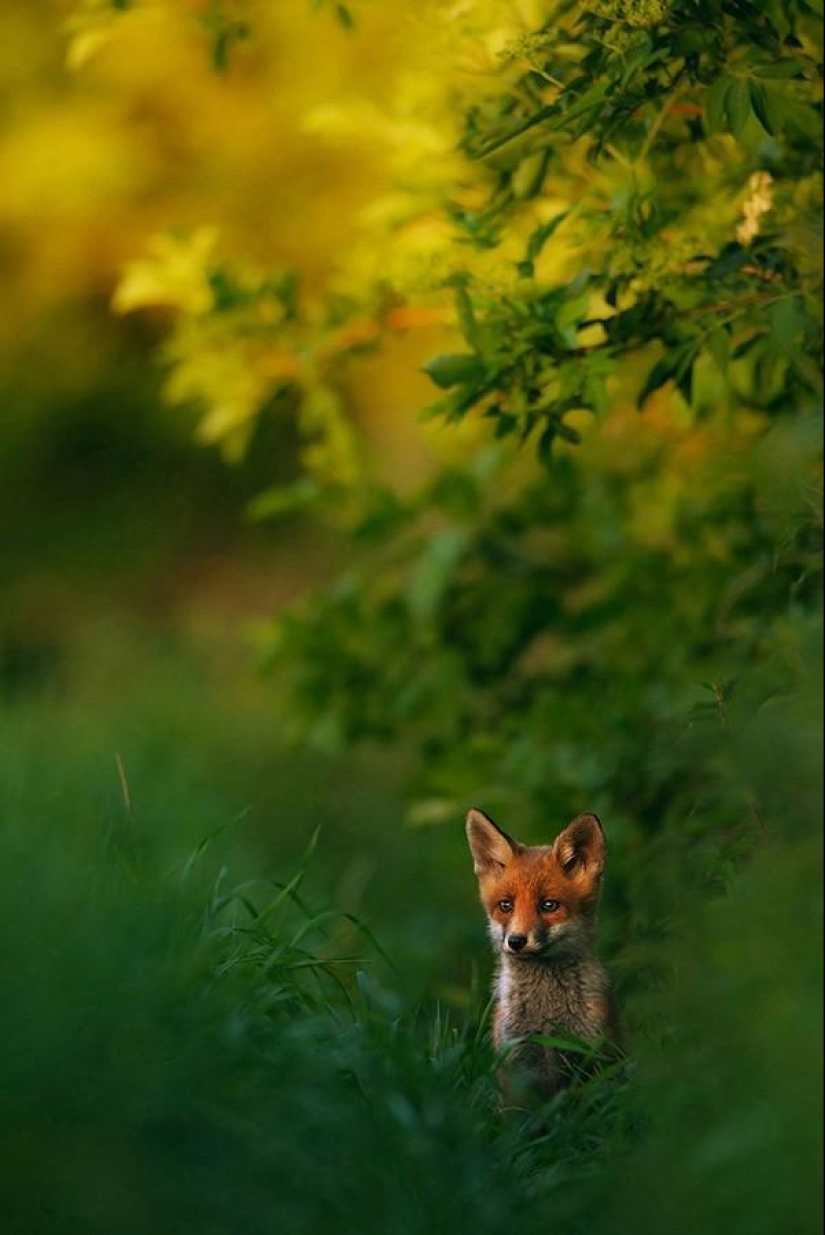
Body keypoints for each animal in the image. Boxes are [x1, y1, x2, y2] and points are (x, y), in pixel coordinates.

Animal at [464, 810, 617, 1101]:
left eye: (549, 905)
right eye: (506, 906)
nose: (516, 941)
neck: (546, 1016)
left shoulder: (592, 1057)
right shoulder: (515, 1064)